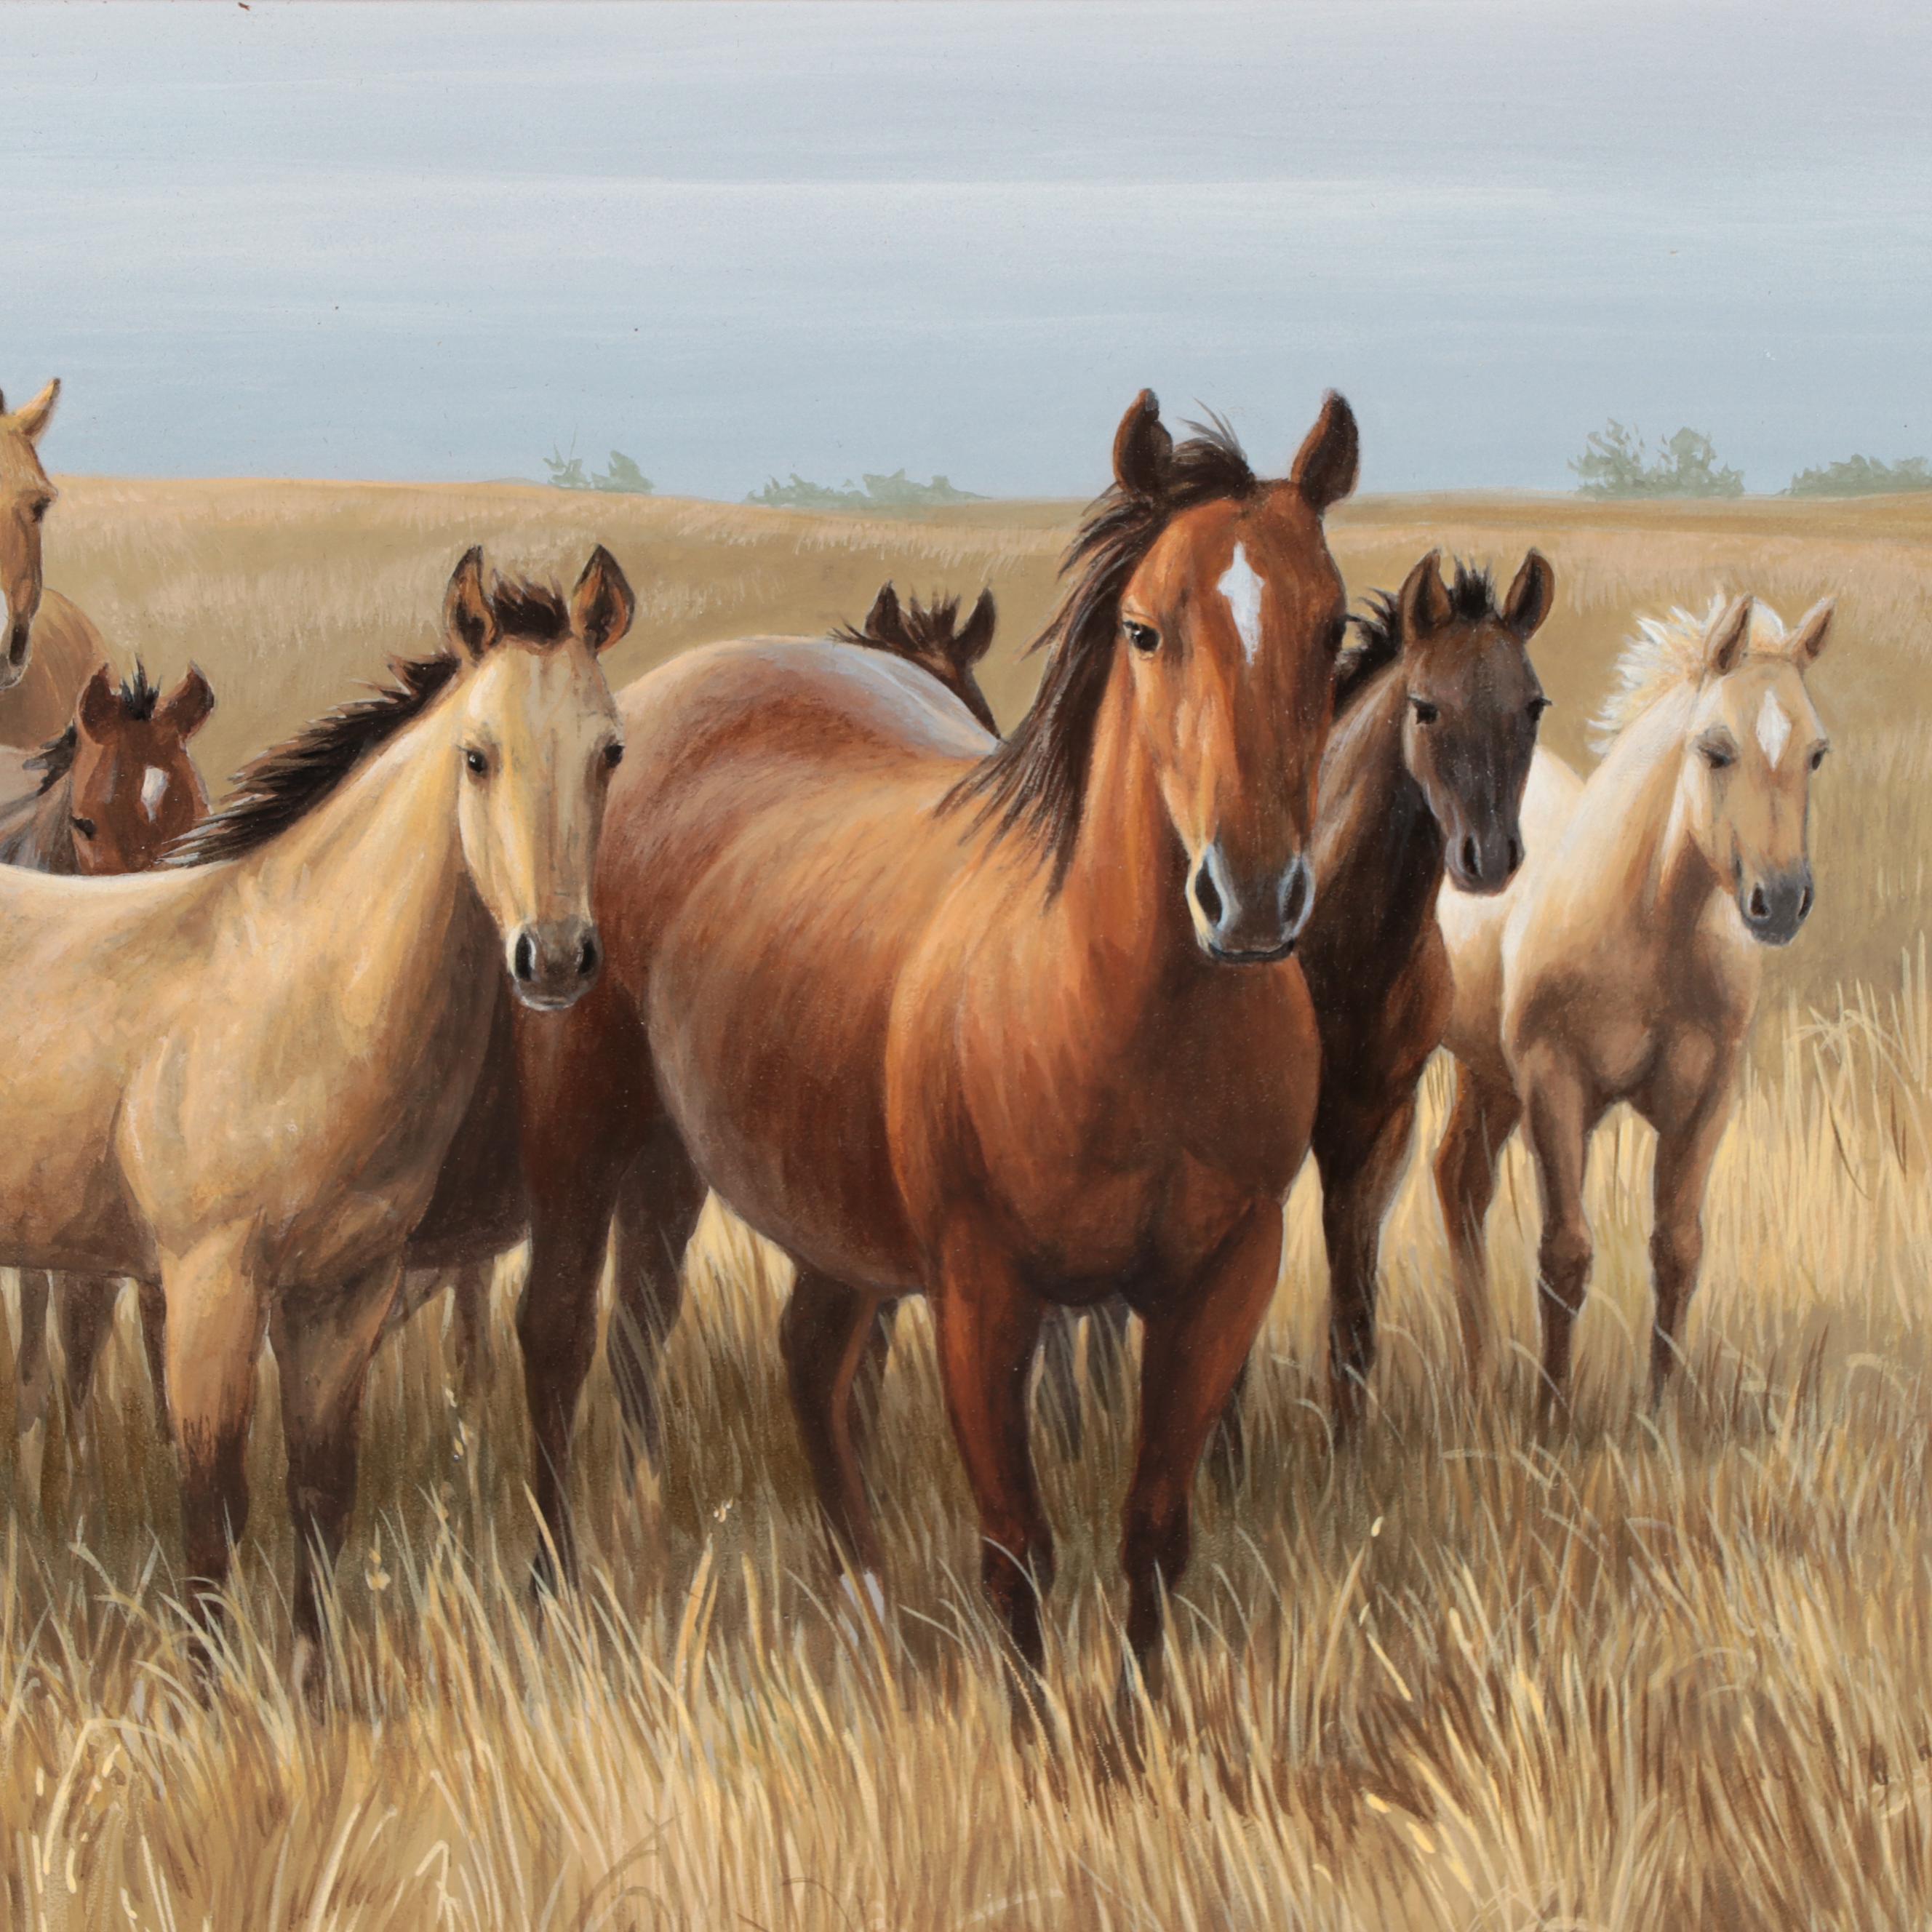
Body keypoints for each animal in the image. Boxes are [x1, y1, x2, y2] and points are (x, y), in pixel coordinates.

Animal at [2, 661, 216, 1509]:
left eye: (198, 818)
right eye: (87, 825)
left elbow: (152, 1304)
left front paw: (166, 1448)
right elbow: (80, 1315)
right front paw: (78, 1481)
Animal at [507, 389, 1359, 1695]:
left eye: (1332, 630)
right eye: (1146, 631)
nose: (1253, 898)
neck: (1106, 1011)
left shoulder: (1222, 1280)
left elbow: (1155, 1532)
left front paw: (1142, 1723)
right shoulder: (982, 1294)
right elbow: (1016, 1548)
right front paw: (1036, 1731)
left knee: (809, 1355)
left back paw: (866, 1607)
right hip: (584, 1126)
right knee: (556, 1333)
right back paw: (556, 1590)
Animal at [1434, 591, 1835, 1410]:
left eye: (1815, 753)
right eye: (1715, 748)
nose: (1779, 901)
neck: (1644, 925)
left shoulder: (1706, 1100)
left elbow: (1677, 1250)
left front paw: (1660, 1414)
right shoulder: (1554, 1091)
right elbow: (1564, 1255)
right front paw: (1552, 1415)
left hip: (1487, 1075)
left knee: (1459, 1183)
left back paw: (1482, 1377)